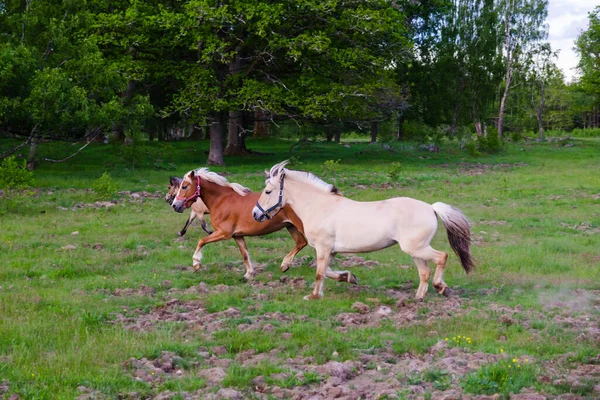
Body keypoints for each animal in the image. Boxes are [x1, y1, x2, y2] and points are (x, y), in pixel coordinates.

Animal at [170, 167, 308, 280]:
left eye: (184, 186)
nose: (175, 205)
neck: (221, 200)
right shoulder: (237, 236)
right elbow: (245, 254)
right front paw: (249, 274)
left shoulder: (224, 233)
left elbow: (202, 241)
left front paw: (196, 263)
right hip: (290, 226)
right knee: (301, 243)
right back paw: (285, 265)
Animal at [251, 161, 476, 302]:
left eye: (268, 191)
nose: (255, 214)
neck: (319, 206)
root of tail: (431, 207)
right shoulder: (331, 251)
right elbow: (328, 271)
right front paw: (349, 278)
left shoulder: (323, 248)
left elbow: (319, 272)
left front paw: (313, 296)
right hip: (416, 251)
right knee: (425, 271)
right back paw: (418, 298)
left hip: (417, 248)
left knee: (442, 257)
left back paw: (441, 287)